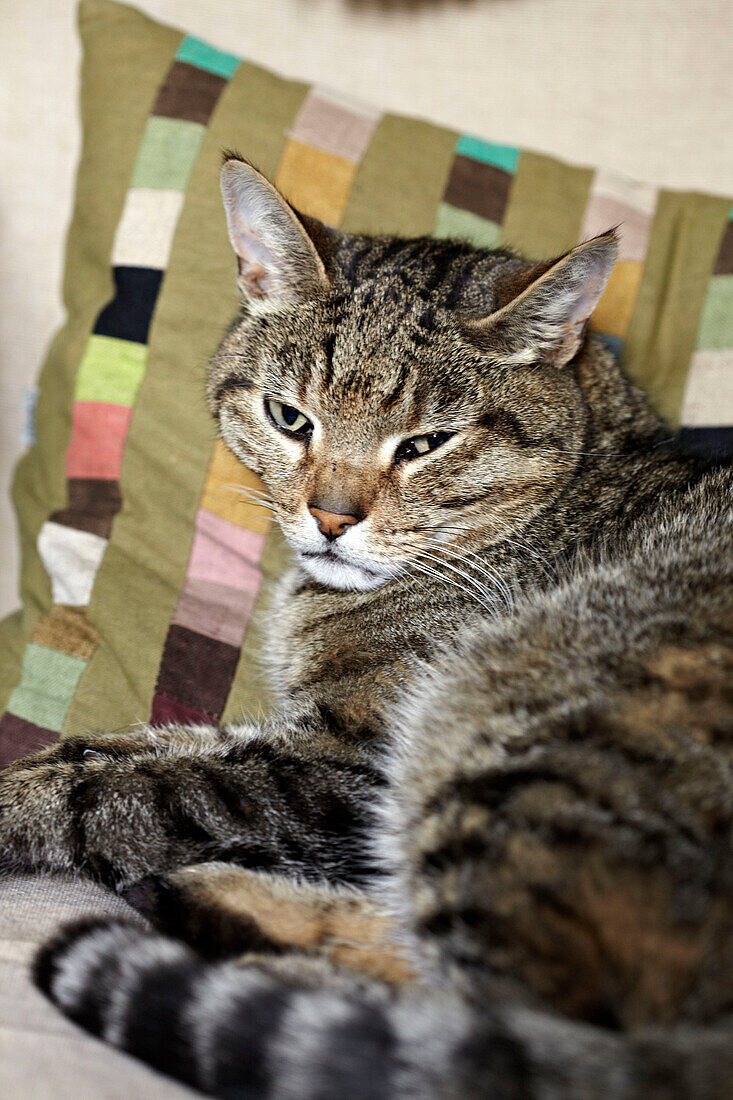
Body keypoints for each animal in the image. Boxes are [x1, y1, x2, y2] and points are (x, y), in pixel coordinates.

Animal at [1, 157, 730, 1100]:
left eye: (424, 444)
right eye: (289, 418)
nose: (331, 519)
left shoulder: (347, 758)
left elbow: (115, 791)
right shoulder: (287, 732)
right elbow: (131, 749)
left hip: (505, 724)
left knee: (503, 1033)